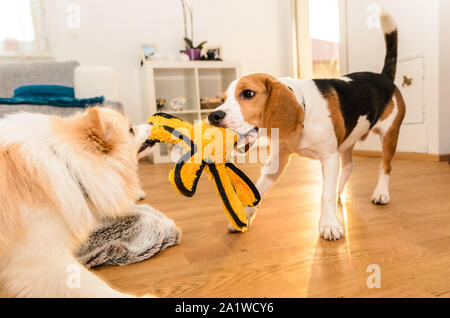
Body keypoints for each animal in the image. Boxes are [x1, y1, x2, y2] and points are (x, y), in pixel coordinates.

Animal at [209, 11, 406, 240]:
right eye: (222, 99)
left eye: (248, 93)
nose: (213, 116)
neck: (302, 115)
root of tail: (384, 77)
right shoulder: (278, 160)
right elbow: (257, 190)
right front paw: (244, 217)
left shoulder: (329, 157)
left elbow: (325, 195)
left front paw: (329, 224)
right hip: (347, 141)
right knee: (349, 166)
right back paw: (341, 190)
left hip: (389, 134)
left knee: (385, 166)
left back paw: (381, 193)